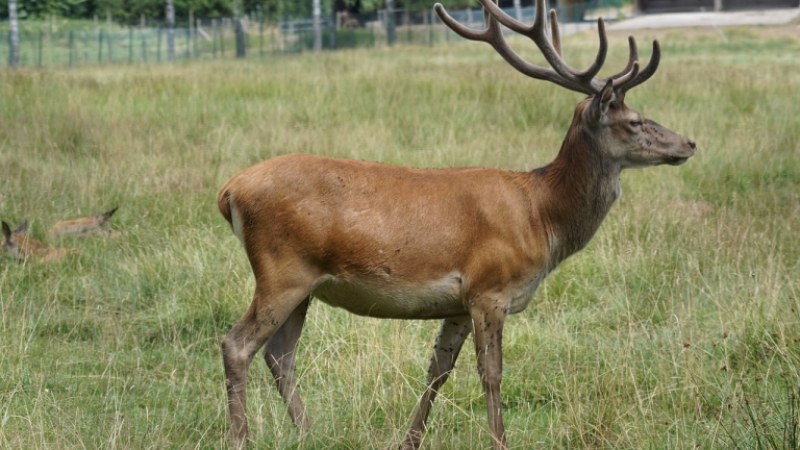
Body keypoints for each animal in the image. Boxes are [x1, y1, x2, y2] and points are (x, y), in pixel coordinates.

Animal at [216, 0, 696, 450]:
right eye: (634, 121)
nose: (689, 142)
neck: (542, 216)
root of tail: (229, 191)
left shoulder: (459, 304)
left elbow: (438, 370)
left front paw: (409, 440)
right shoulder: (490, 288)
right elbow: (491, 373)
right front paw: (501, 441)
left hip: (304, 285)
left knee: (280, 355)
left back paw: (309, 432)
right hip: (282, 270)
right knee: (237, 345)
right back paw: (242, 437)